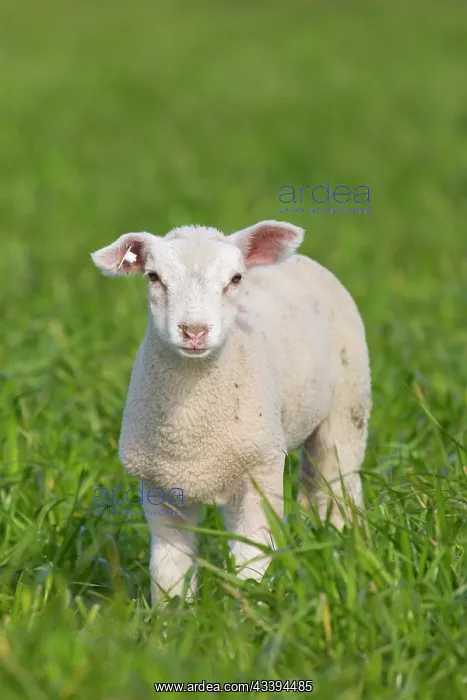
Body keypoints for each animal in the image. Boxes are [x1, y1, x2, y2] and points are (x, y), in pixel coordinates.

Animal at [91, 220, 371, 603]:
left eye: (235, 278)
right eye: (153, 277)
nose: (194, 330)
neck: (190, 427)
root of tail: (301, 260)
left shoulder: (261, 473)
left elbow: (252, 558)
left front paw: (251, 607)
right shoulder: (160, 486)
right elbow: (169, 569)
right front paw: (171, 614)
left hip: (347, 407)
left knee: (338, 485)